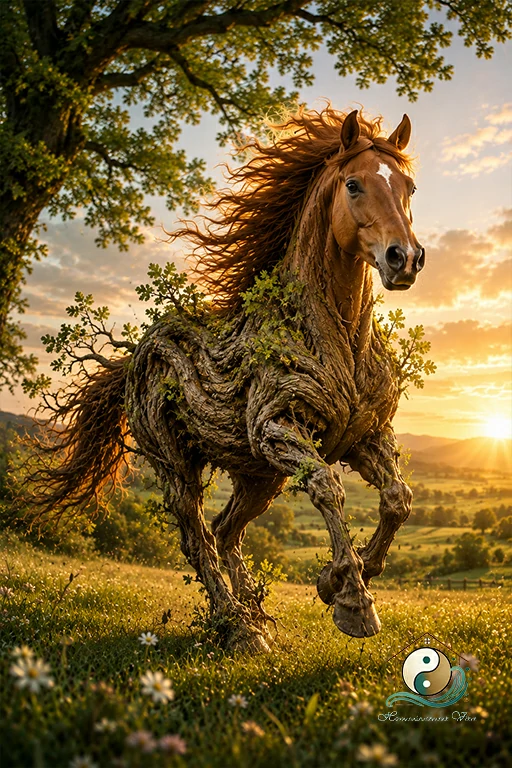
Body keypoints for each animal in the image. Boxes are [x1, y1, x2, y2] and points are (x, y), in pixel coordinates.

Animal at [29, 108, 425, 652]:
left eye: (409, 186)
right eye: (353, 184)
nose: (403, 258)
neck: (338, 338)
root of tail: (136, 358)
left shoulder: (364, 435)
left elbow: (397, 500)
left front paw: (335, 581)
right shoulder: (278, 427)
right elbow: (329, 488)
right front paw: (352, 602)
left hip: (259, 477)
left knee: (225, 530)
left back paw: (255, 616)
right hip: (178, 466)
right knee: (198, 538)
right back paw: (237, 627)